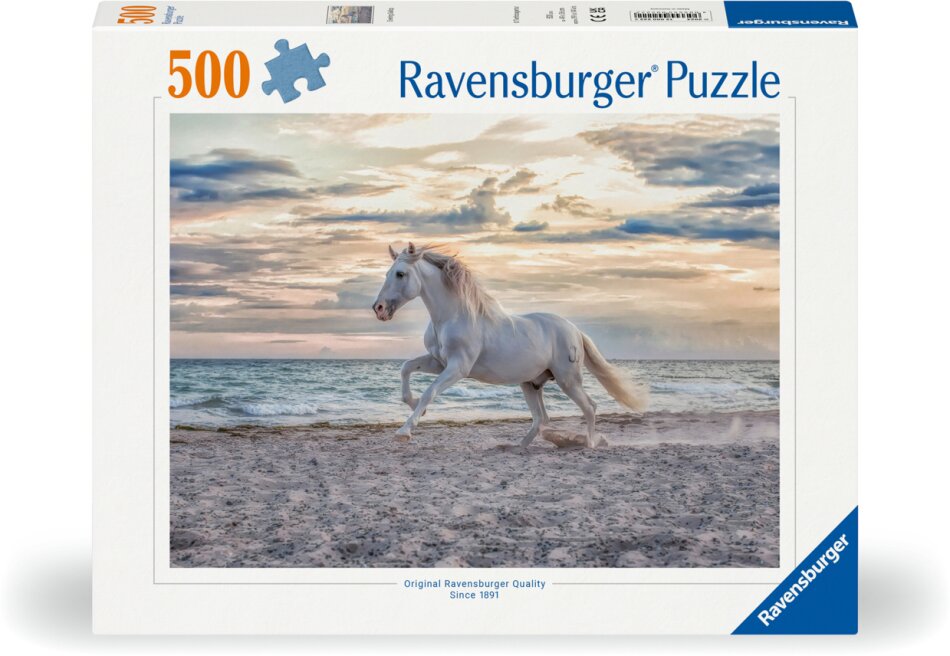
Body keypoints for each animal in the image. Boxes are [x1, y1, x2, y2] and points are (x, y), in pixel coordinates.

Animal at [372, 243, 648, 447]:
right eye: (386, 273)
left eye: (400, 274)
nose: (379, 308)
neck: (453, 316)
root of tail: (575, 330)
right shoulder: (438, 362)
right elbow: (406, 369)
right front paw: (414, 406)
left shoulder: (458, 368)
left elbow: (430, 392)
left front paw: (405, 431)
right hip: (531, 383)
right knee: (541, 418)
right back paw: (520, 446)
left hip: (568, 380)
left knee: (589, 407)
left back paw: (589, 444)